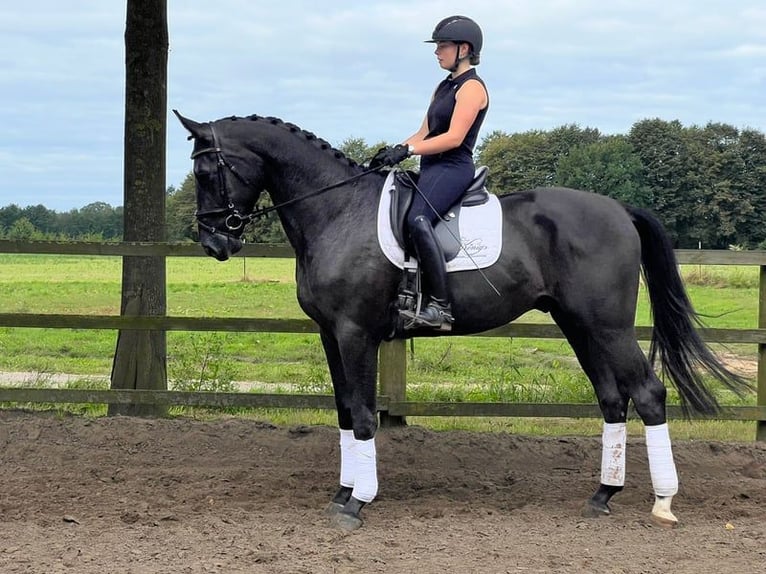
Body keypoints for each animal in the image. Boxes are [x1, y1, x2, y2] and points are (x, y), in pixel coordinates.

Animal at [172, 110, 752, 532]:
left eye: (205, 171)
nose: (215, 243)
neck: (336, 211)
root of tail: (619, 209)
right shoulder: (329, 335)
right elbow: (343, 412)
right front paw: (342, 491)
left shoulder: (356, 333)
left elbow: (363, 416)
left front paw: (358, 502)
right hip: (579, 326)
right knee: (613, 398)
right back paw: (602, 495)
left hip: (606, 326)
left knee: (648, 394)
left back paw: (663, 503)